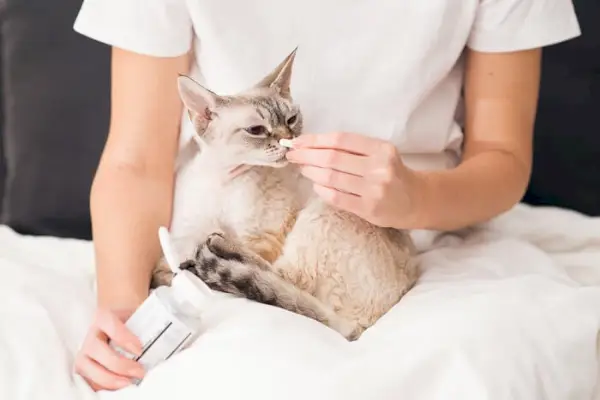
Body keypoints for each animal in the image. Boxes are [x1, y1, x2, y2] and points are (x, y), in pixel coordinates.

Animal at [152, 48, 420, 340]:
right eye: (257, 130)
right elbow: (167, 262)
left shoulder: (263, 237)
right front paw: (169, 270)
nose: (287, 139)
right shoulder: (189, 228)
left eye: (291, 120)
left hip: (321, 213)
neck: (223, 181)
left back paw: (215, 251)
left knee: (281, 279)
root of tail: (360, 328)